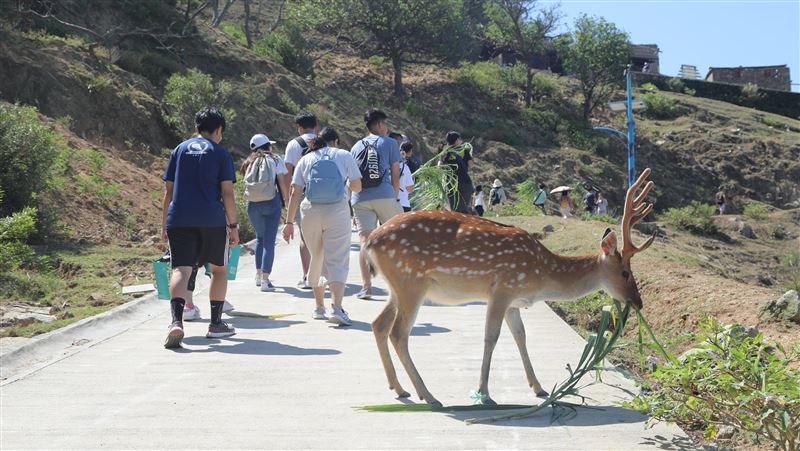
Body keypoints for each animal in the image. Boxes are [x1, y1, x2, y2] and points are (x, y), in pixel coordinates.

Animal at [365, 168, 656, 406]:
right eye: (625, 272)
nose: (639, 302)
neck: (541, 275)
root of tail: (370, 241)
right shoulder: (503, 289)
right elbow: (491, 337)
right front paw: (484, 393)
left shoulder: (515, 301)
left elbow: (520, 336)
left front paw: (539, 388)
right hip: (411, 282)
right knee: (398, 333)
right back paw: (428, 395)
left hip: (397, 286)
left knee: (378, 324)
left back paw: (399, 389)